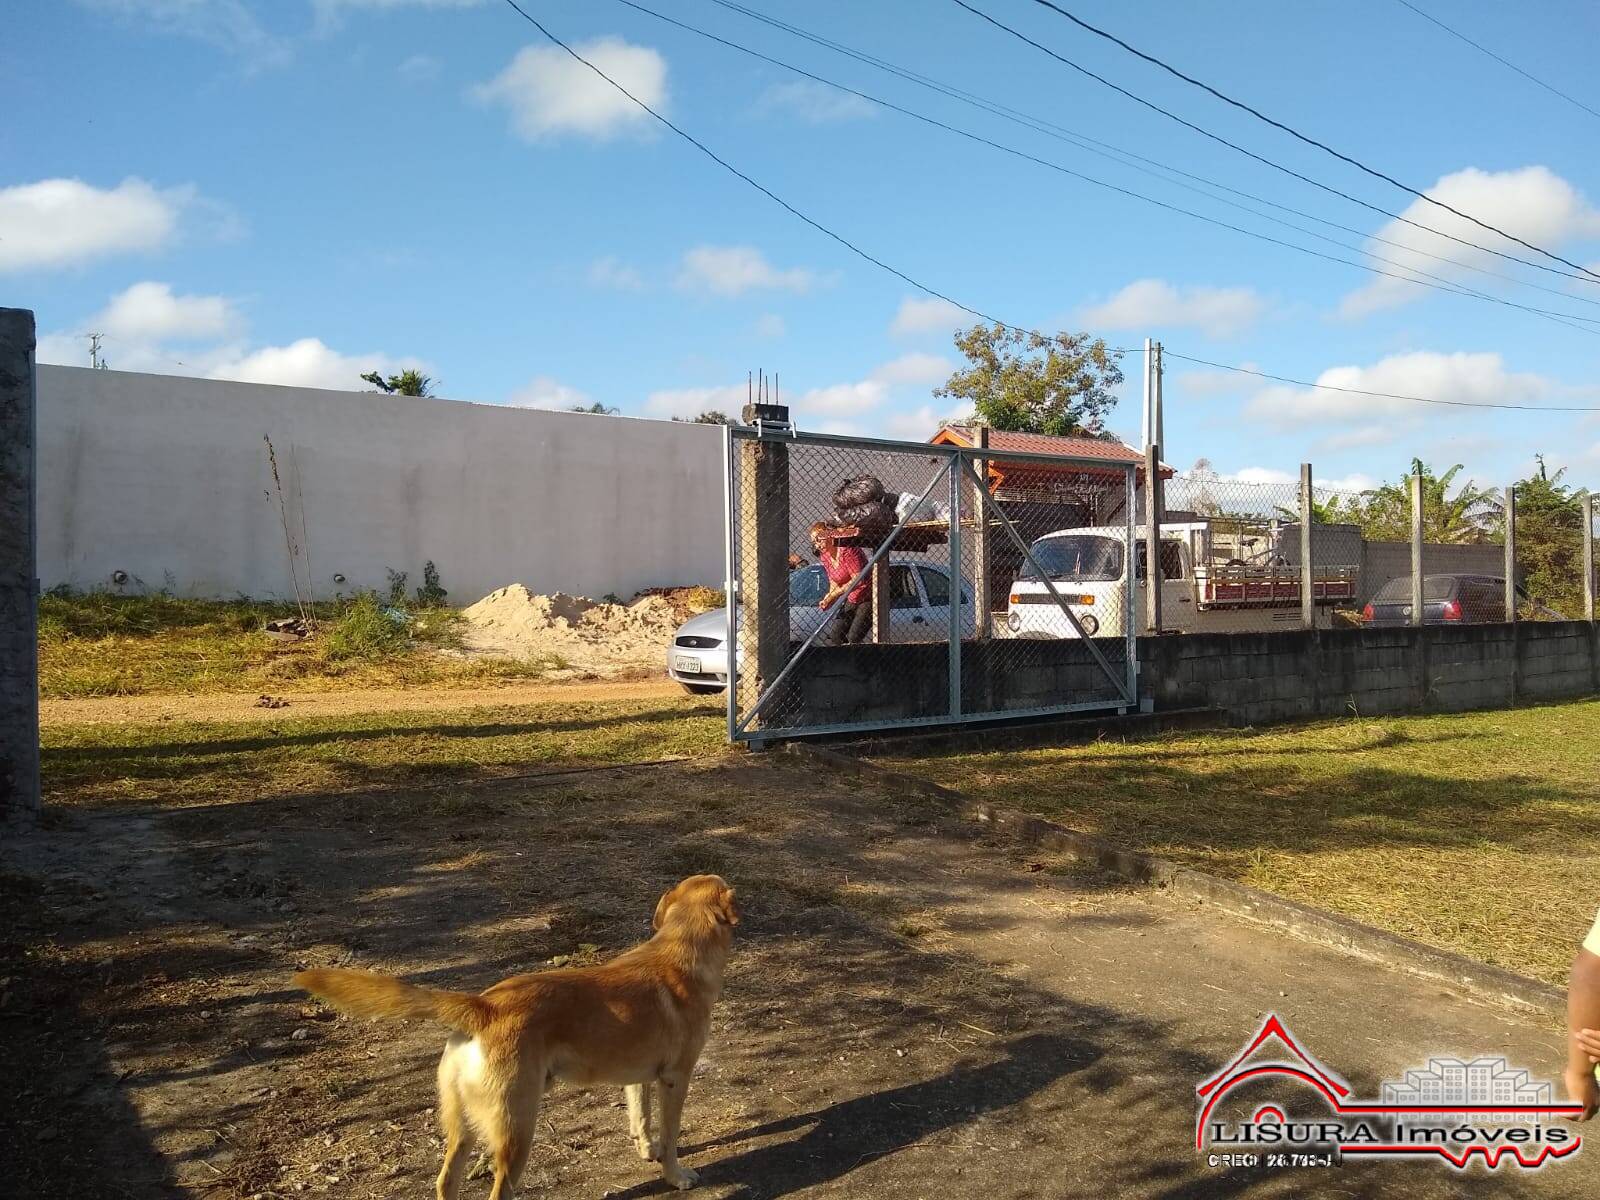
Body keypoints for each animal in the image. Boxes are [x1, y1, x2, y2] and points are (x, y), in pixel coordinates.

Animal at [292, 876, 736, 1196]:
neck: (680, 949)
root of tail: (485, 1006)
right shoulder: (675, 1079)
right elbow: (671, 1133)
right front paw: (674, 1174)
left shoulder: (638, 1077)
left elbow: (640, 1118)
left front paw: (647, 1150)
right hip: (517, 1131)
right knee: (498, 1191)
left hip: (463, 1128)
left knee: (445, 1180)